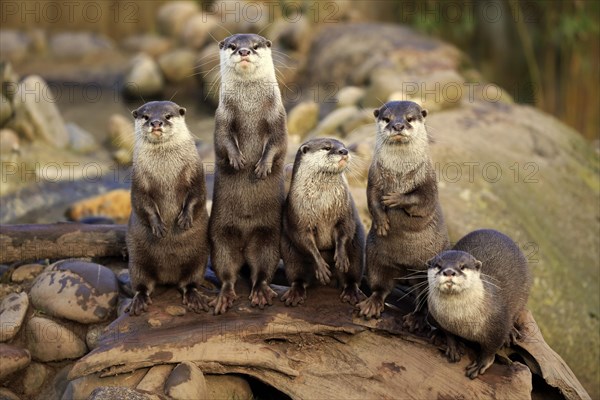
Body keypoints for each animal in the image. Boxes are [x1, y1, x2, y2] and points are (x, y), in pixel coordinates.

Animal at [126, 101, 211, 316]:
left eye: (168, 116)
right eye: (146, 116)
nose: (156, 123)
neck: (166, 170)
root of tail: (168, 276)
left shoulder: (195, 173)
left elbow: (197, 195)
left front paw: (184, 219)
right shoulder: (138, 180)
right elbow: (142, 202)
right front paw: (158, 227)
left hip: (198, 259)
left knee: (190, 282)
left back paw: (194, 297)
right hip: (137, 260)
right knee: (142, 284)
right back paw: (139, 301)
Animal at [209, 33, 288, 316]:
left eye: (255, 46)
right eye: (232, 45)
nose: (243, 51)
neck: (250, 109)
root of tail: (244, 245)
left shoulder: (278, 117)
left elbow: (277, 143)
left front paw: (262, 166)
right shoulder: (222, 117)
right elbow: (223, 140)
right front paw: (236, 160)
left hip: (269, 238)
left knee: (263, 270)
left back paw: (262, 293)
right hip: (219, 236)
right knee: (226, 271)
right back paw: (224, 296)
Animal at [280, 138, 366, 306]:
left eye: (343, 146)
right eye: (327, 148)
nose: (344, 151)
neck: (323, 203)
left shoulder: (346, 211)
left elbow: (346, 230)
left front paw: (341, 257)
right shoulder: (297, 217)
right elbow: (304, 240)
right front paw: (321, 266)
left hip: (357, 247)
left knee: (352, 276)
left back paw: (351, 292)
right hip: (289, 250)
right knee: (298, 276)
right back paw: (295, 293)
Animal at [354, 100, 448, 328]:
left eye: (409, 118)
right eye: (387, 118)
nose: (397, 126)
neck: (400, 173)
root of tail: (404, 269)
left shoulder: (429, 182)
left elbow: (422, 201)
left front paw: (395, 199)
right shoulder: (374, 178)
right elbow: (372, 200)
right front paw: (381, 222)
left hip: (424, 270)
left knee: (424, 298)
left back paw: (416, 318)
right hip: (376, 257)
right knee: (381, 285)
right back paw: (372, 304)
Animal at [426, 230, 536, 380]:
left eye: (462, 266)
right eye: (438, 265)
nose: (448, 271)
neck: (460, 320)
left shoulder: (497, 326)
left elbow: (490, 350)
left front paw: (479, 365)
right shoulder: (440, 318)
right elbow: (448, 334)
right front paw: (453, 347)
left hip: (523, 295)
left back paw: (511, 333)